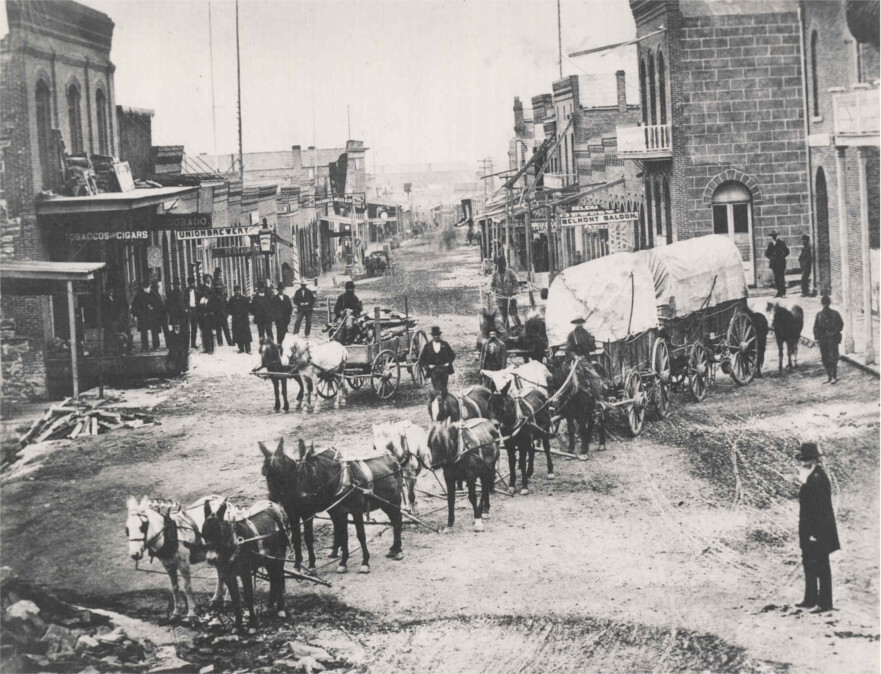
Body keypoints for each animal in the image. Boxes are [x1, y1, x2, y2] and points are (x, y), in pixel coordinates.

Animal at [201, 494, 288, 632]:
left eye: (219, 533)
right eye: (203, 534)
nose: (211, 559)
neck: (235, 544)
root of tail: (275, 506)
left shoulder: (245, 573)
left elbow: (248, 596)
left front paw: (252, 624)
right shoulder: (228, 576)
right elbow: (235, 599)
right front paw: (237, 625)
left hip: (279, 557)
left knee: (278, 578)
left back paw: (280, 609)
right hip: (268, 560)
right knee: (273, 578)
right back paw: (269, 606)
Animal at [296, 440, 406, 572]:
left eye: (311, 472)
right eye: (297, 472)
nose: (301, 500)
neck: (344, 480)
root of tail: (394, 458)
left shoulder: (356, 510)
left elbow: (361, 535)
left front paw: (365, 562)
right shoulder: (340, 512)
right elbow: (344, 536)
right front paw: (343, 562)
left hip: (395, 499)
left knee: (398, 520)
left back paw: (398, 550)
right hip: (385, 502)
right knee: (394, 520)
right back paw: (393, 549)